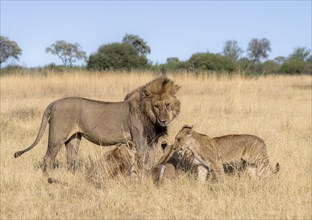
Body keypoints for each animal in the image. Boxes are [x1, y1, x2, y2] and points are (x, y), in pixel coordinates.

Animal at [14, 76, 180, 173]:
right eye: (156, 106)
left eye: (167, 104)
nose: (163, 120)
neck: (151, 117)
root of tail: (53, 103)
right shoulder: (139, 140)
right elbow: (143, 159)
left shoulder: (152, 141)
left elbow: (151, 159)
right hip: (57, 136)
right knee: (48, 158)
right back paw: (48, 176)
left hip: (74, 138)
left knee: (71, 159)